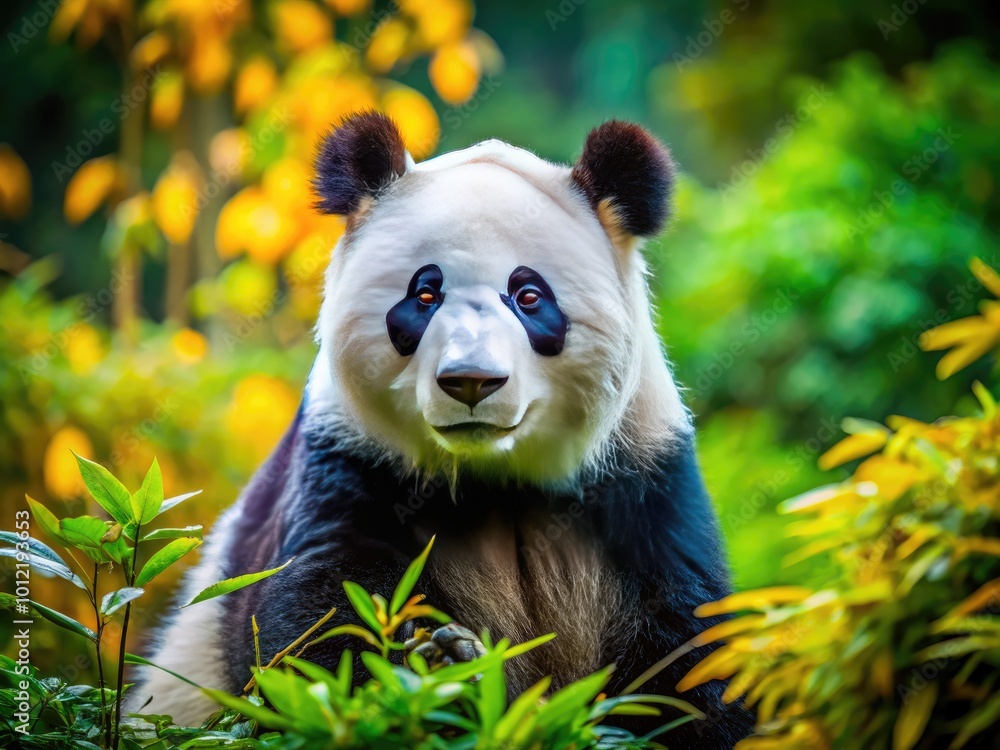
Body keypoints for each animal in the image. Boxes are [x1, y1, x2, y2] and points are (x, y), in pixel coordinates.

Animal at [131, 112, 754, 748]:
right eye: (425, 293)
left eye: (529, 295)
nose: (471, 381)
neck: (493, 475)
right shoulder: (352, 460)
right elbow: (319, 631)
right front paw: (445, 671)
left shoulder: (642, 474)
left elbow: (685, 653)